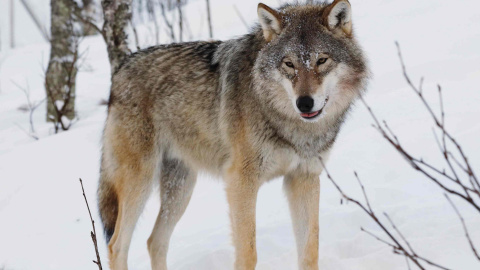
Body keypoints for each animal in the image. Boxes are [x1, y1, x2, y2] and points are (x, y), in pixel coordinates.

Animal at [97, 1, 368, 268]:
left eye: (322, 60)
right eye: (289, 64)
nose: (304, 103)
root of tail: (120, 70)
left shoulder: (304, 177)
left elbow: (310, 250)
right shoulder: (240, 181)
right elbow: (248, 253)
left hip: (181, 189)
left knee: (155, 241)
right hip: (140, 182)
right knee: (116, 245)